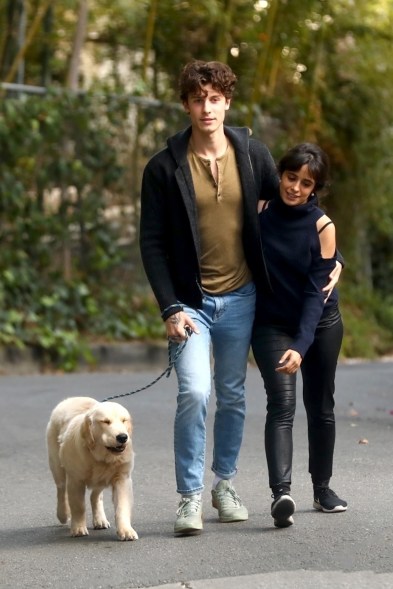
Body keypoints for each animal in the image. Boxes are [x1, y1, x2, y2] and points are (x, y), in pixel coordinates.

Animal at [45, 398, 138, 540]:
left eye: (124, 420)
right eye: (106, 421)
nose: (123, 437)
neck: (100, 457)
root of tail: (71, 398)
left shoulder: (122, 478)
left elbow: (122, 507)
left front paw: (126, 531)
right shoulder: (75, 480)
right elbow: (78, 506)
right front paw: (78, 528)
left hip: (100, 479)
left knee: (96, 496)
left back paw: (100, 520)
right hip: (57, 465)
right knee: (61, 490)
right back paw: (63, 514)